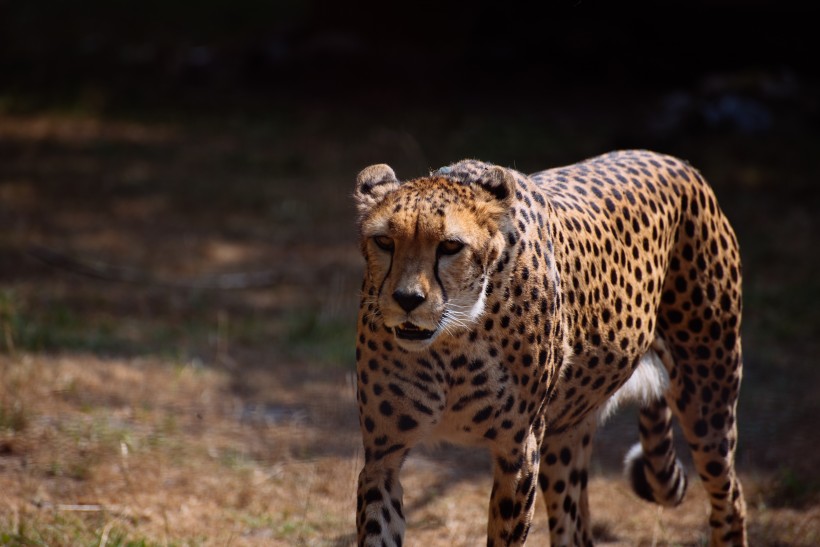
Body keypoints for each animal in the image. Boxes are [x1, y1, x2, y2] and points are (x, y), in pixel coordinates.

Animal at [350, 149, 744, 544]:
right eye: (384, 242)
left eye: (449, 246)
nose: (407, 299)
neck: (451, 340)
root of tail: (668, 158)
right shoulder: (383, 457)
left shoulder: (518, 453)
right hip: (566, 436)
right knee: (576, 528)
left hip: (708, 402)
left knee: (731, 499)